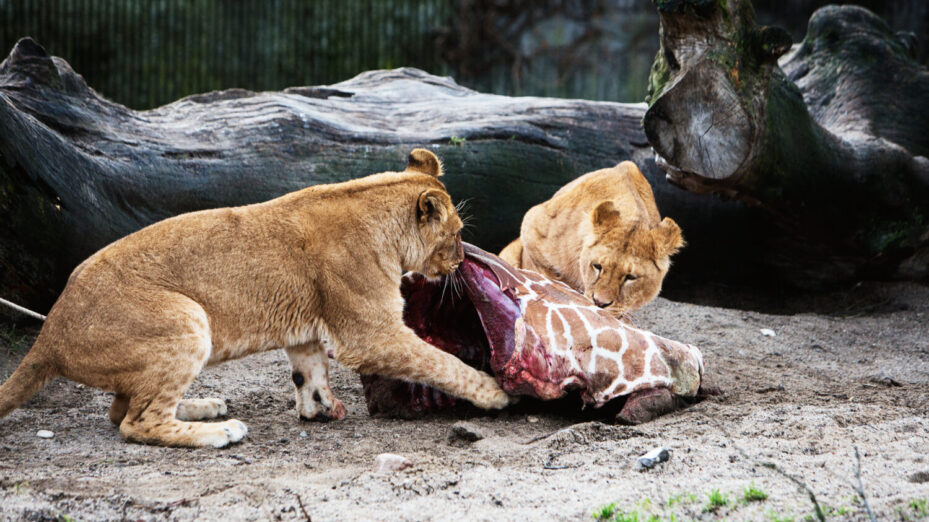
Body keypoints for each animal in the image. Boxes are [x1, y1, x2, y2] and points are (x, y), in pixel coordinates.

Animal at [0, 148, 508, 444]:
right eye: (457, 234)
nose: (461, 262)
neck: (373, 205)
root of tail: (50, 331)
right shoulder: (371, 334)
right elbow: (440, 363)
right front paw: (493, 392)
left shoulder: (310, 326)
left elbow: (309, 369)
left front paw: (318, 408)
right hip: (186, 319)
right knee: (134, 422)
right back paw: (219, 431)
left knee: (119, 407)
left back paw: (204, 406)